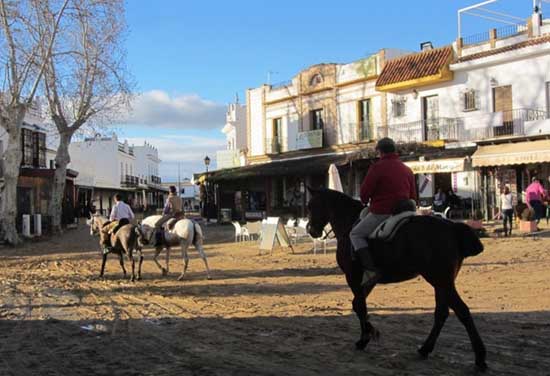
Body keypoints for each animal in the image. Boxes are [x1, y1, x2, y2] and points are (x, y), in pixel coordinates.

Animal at [308, 189, 490, 372]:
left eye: (311, 205)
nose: (311, 230)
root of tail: (452, 228)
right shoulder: (368, 280)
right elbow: (358, 305)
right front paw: (368, 335)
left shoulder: (353, 277)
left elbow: (359, 306)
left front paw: (366, 337)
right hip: (442, 283)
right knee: (442, 313)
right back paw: (425, 349)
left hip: (440, 280)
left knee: (462, 311)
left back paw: (480, 359)